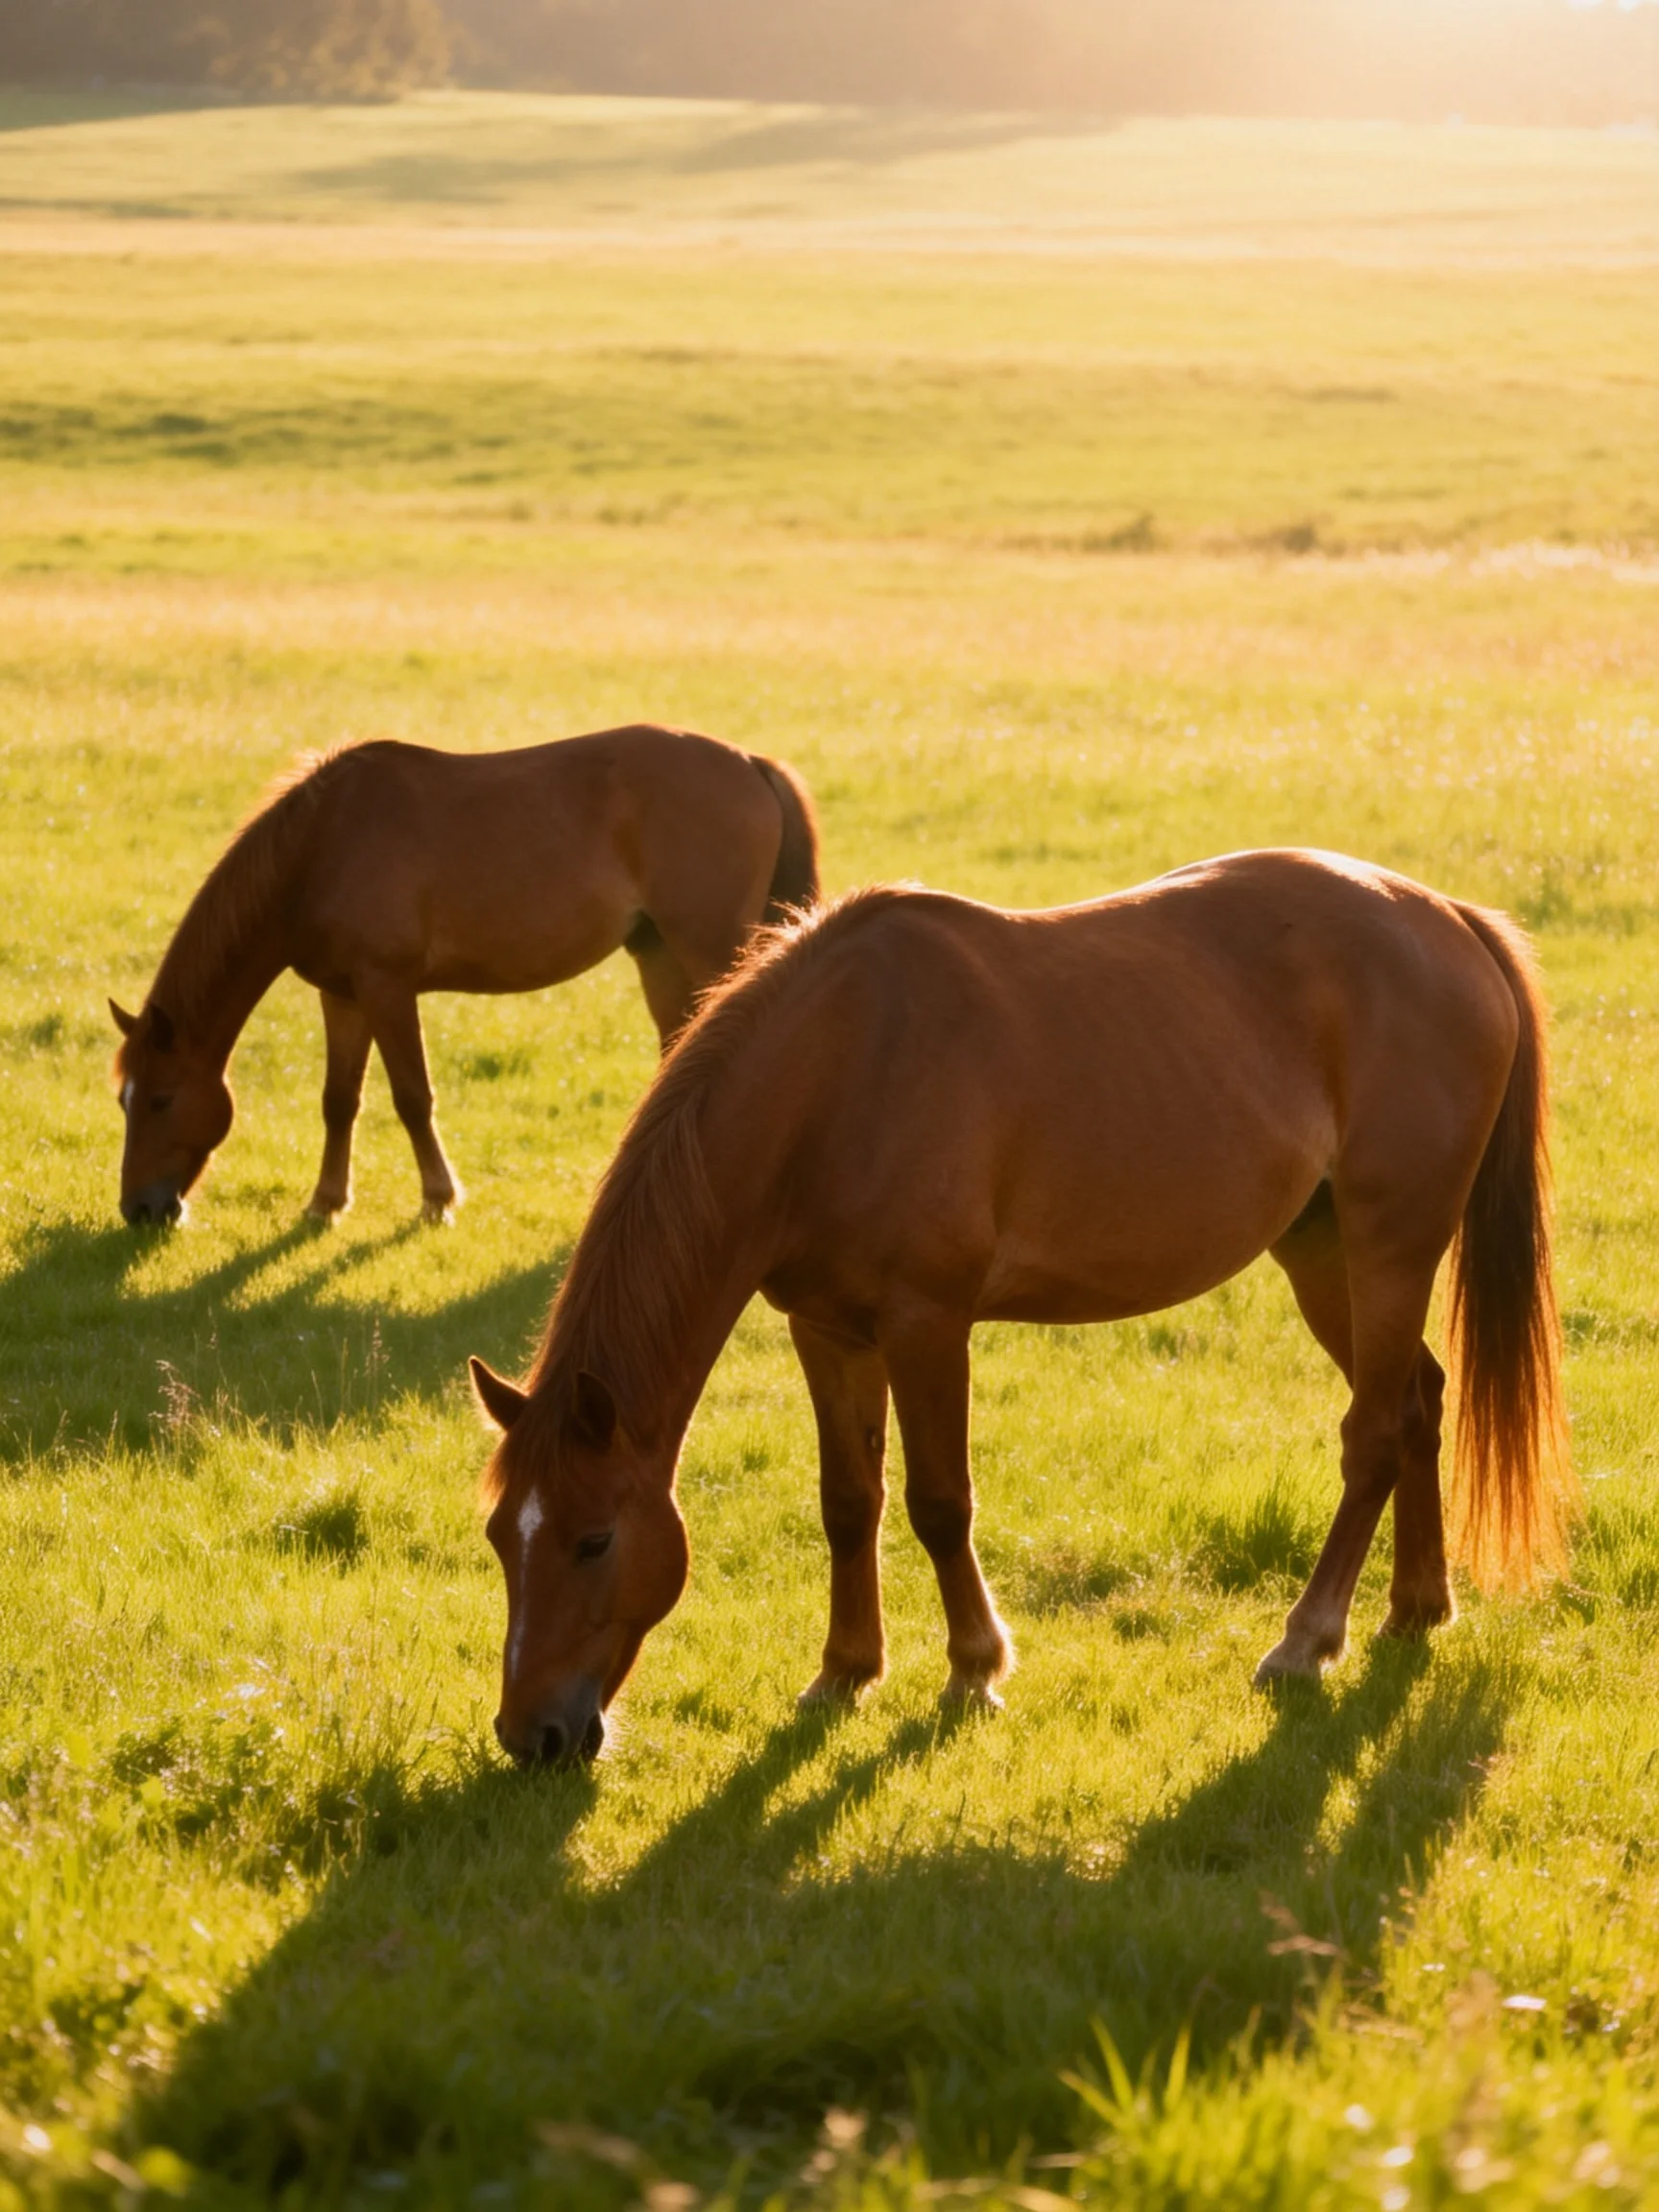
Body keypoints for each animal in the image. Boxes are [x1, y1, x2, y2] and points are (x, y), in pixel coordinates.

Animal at [109, 725, 818, 1225]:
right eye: (124, 1100)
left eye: (162, 1099)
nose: (139, 1210)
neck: (321, 846)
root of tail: (750, 763)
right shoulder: (342, 996)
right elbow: (339, 1101)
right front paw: (326, 1202)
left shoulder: (388, 988)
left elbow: (412, 1097)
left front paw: (437, 1197)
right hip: (659, 955)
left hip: (713, 951)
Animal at [468, 849, 1574, 1769]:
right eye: (498, 1541)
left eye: (594, 1540)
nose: (533, 1736)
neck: (840, 1070)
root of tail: (1452, 920)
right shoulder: (824, 1330)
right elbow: (848, 1502)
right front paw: (844, 1672)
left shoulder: (927, 1324)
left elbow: (938, 1502)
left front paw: (972, 1668)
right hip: (1320, 1253)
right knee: (1420, 1400)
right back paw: (1416, 1608)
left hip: (1391, 1248)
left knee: (1376, 1432)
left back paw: (1307, 1641)